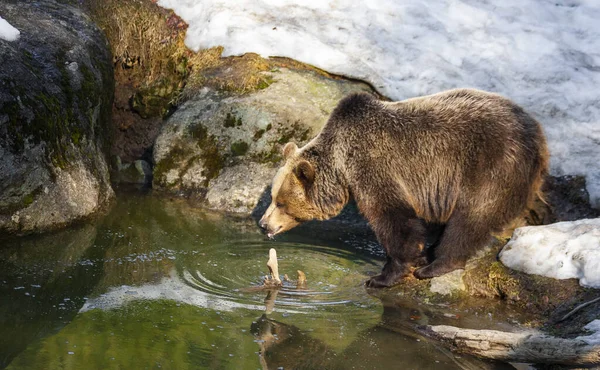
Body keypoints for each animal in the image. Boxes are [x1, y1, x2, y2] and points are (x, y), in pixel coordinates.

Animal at [258, 88, 548, 288]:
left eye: (281, 202)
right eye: (272, 197)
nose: (263, 224)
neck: (342, 165)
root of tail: (538, 135)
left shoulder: (374, 165)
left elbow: (393, 218)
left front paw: (384, 275)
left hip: (489, 165)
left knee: (471, 216)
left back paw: (436, 265)